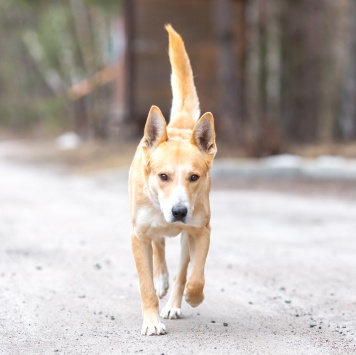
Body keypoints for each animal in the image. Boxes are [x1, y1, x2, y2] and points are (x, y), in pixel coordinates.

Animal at [129, 25, 216, 336]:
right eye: (163, 176)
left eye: (194, 177)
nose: (179, 211)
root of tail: (178, 127)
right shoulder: (138, 236)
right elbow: (145, 285)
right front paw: (152, 321)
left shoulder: (201, 231)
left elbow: (194, 275)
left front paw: (192, 296)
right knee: (159, 249)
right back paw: (161, 279)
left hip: (187, 237)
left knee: (181, 269)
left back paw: (176, 301)